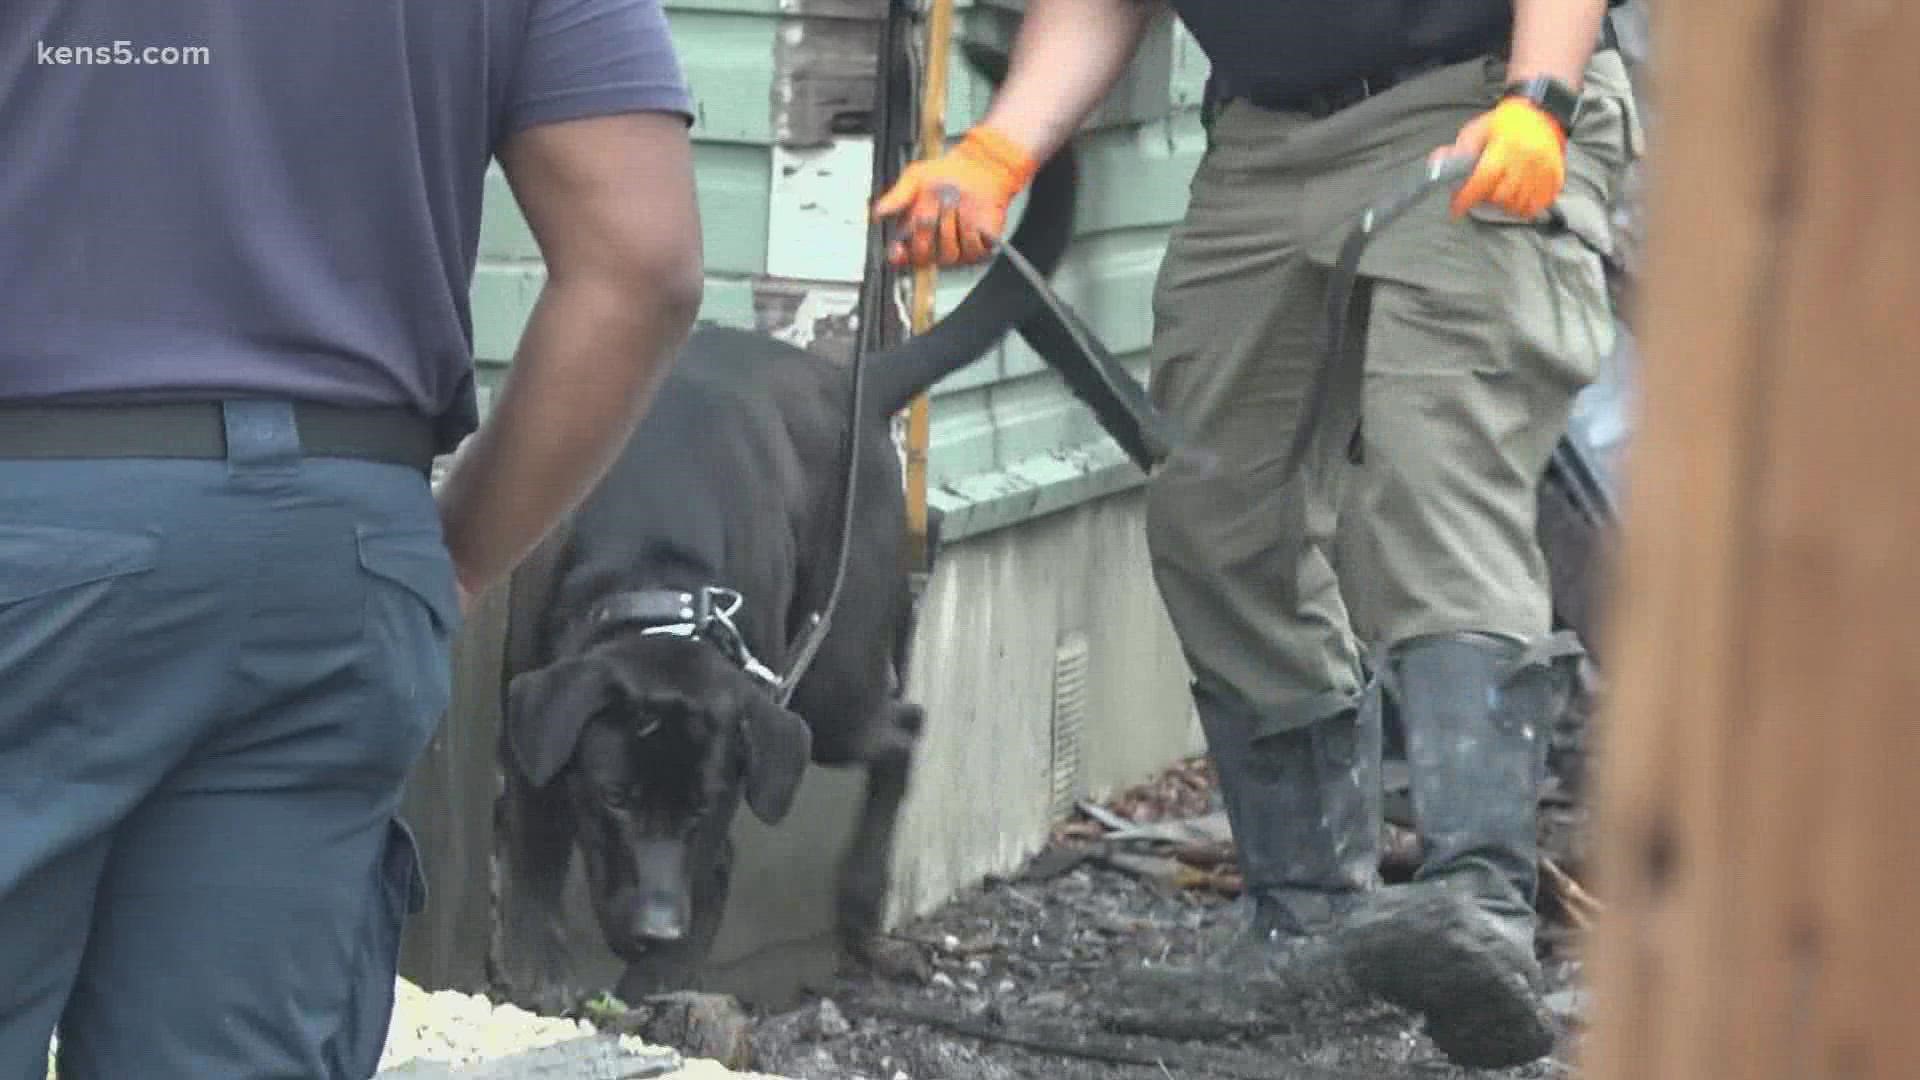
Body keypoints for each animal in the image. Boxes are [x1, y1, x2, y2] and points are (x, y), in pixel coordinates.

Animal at [487, 42, 1075, 999]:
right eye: (613, 800)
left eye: (704, 806)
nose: (652, 925)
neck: (658, 580)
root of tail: (850, 383)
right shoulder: (538, 716)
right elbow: (535, 855)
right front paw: (541, 970)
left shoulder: (731, 804)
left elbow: (702, 907)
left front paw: (653, 988)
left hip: (833, 676)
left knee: (902, 730)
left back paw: (862, 903)